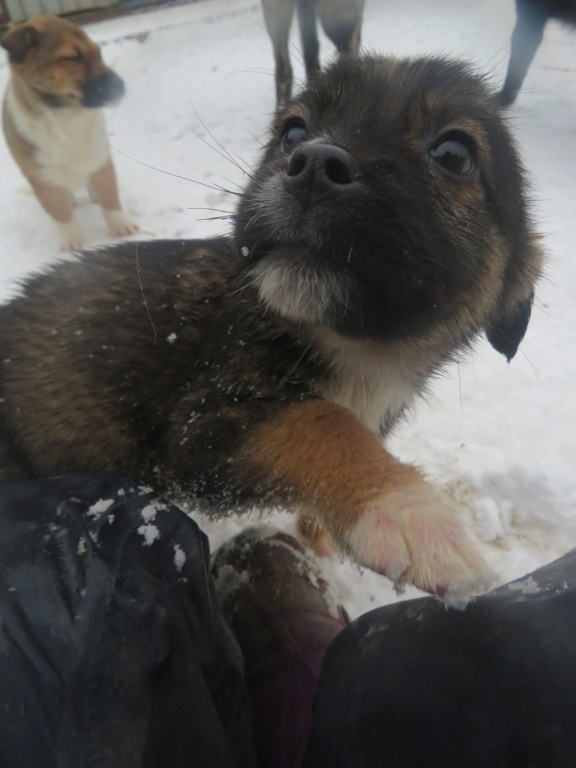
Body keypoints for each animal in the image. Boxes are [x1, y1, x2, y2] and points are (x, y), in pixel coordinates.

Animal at [0, 55, 544, 608]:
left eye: (455, 154)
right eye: (293, 132)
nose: (314, 165)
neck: (357, 353)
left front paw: (324, 536)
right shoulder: (200, 426)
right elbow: (320, 421)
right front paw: (407, 510)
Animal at [1, 15, 138, 250]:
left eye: (99, 53)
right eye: (73, 58)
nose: (120, 86)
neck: (64, 117)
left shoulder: (100, 160)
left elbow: (110, 198)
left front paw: (121, 226)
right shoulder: (43, 180)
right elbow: (61, 214)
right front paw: (72, 243)